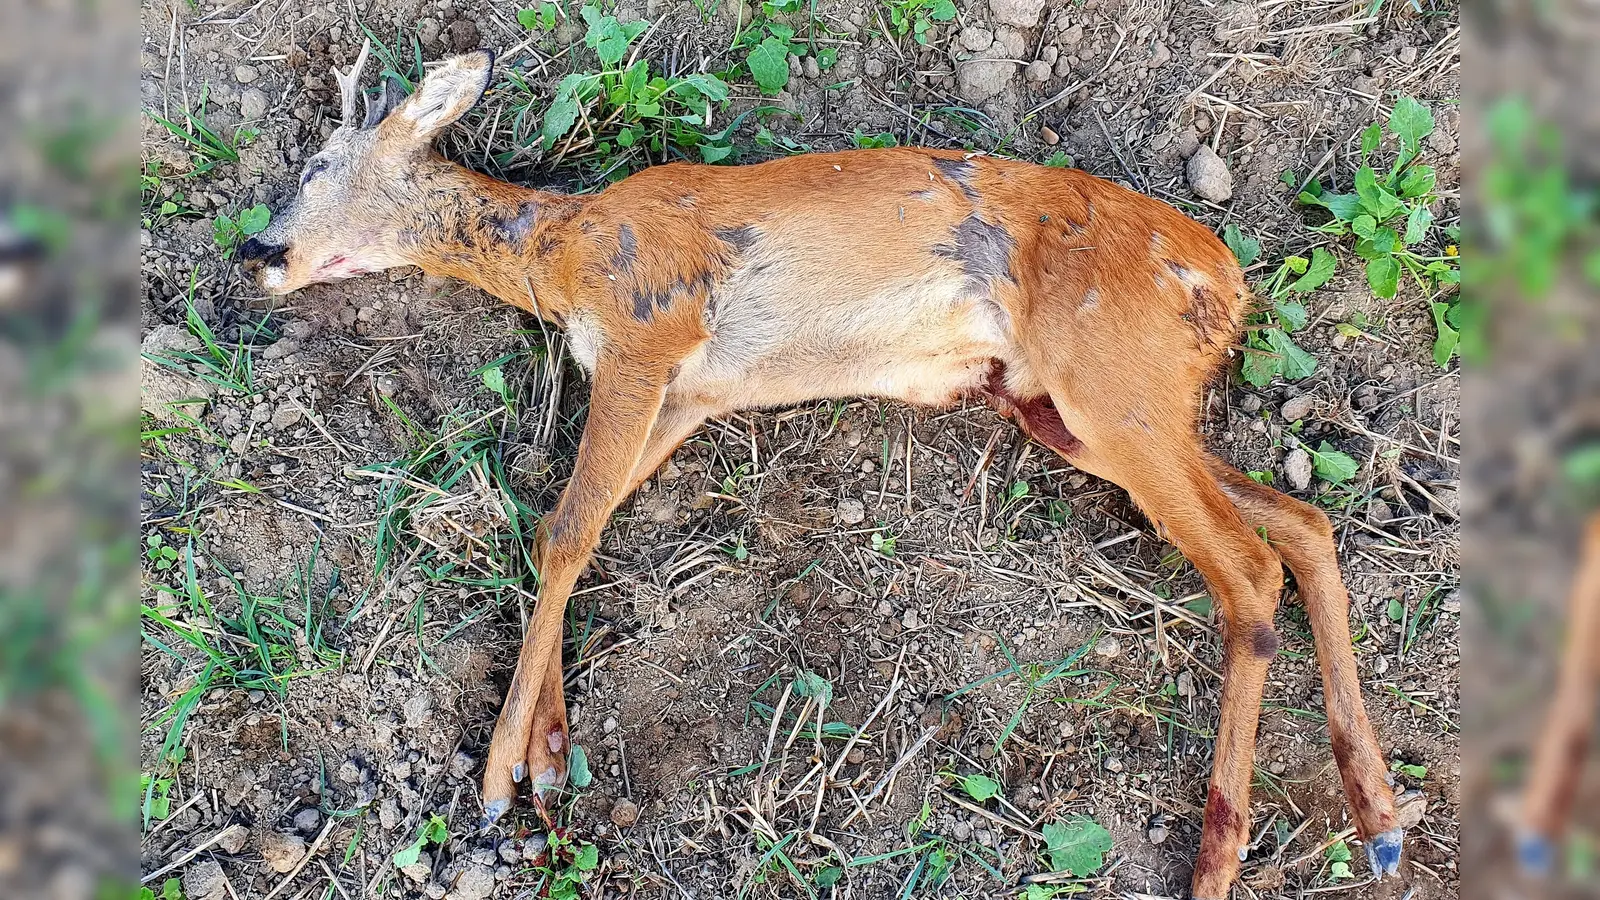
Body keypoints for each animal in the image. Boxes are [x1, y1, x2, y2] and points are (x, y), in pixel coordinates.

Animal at [233, 42, 1401, 890]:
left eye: (314, 166)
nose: (258, 253)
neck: (557, 253)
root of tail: (1227, 282)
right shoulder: (687, 395)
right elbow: (583, 529)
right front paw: (551, 754)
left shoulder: (650, 322)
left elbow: (562, 528)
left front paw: (495, 777)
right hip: (1075, 409)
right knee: (1303, 526)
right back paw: (1379, 815)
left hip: (1111, 376)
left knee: (1247, 571)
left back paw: (1221, 855)